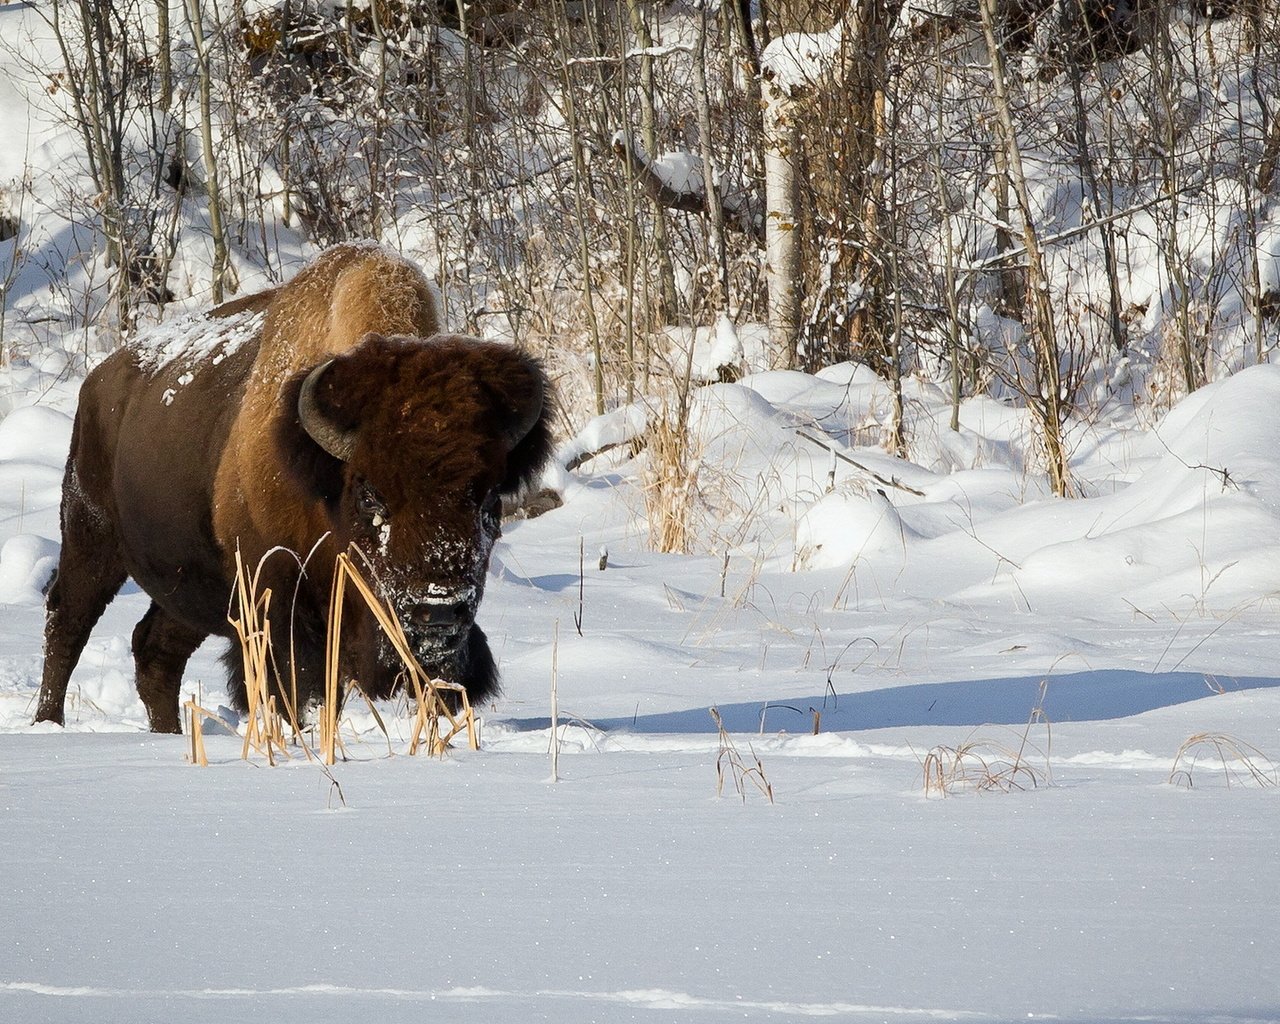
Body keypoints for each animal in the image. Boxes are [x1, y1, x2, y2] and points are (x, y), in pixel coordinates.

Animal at [35, 244, 552, 732]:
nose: (439, 613)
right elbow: (292, 691)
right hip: (91, 538)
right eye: (370, 495)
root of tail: (97, 382)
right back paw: (47, 723)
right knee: (67, 620)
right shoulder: (276, 610)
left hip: (189, 584)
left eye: (489, 501)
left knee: (155, 652)